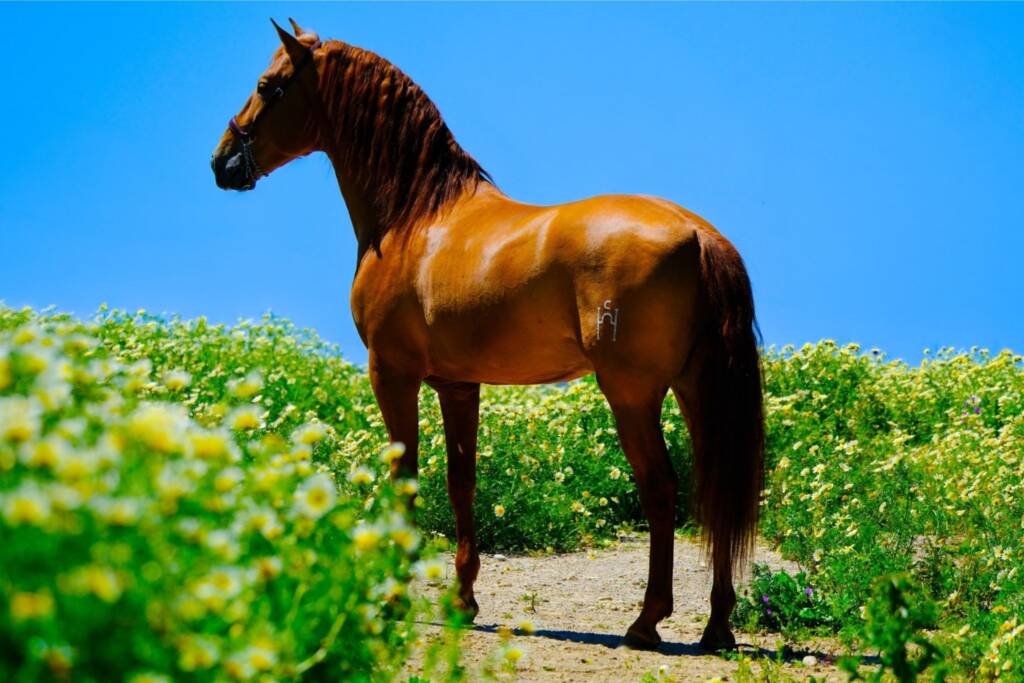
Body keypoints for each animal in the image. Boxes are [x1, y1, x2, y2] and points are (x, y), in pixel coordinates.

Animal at [212, 19, 764, 652]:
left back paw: (646, 621)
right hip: (695, 389)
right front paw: (462, 599)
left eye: (267, 85)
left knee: (662, 488)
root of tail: (698, 235)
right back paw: (717, 625)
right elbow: (462, 482)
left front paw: (396, 600)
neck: (415, 218)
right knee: (715, 488)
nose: (221, 163)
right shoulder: (458, 385)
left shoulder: (392, 375)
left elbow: (407, 480)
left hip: (632, 394)